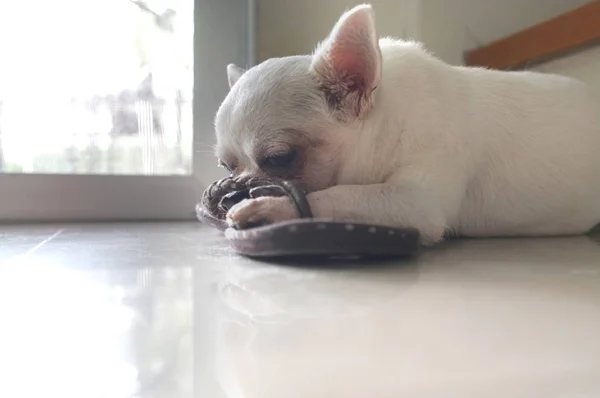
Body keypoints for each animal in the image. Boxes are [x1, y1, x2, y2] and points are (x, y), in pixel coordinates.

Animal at [212, 3, 600, 246]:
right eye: (226, 166)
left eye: (280, 158)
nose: (232, 191)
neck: (389, 120)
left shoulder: (414, 202)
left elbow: (337, 194)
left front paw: (272, 207)